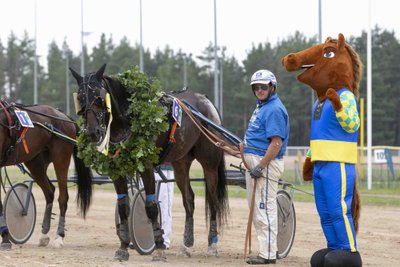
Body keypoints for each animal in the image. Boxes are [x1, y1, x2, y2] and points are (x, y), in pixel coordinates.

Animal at [0, 101, 93, 251]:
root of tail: (63, 115)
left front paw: (5, 239)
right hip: (35, 162)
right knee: (49, 191)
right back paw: (44, 234)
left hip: (61, 157)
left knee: (63, 198)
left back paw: (59, 236)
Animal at [70, 64, 230, 262]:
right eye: (80, 99)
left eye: (99, 98)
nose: (93, 132)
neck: (128, 121)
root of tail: (206, 101)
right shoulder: (116, 170)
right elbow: (123, 207)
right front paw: (123, 248)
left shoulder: (146, 167)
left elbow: (151, 207)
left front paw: (159, 248)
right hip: (181, 162)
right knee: (189, 199)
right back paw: (186, 244)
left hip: (209, 161)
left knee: (213, 200)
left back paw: (212, 244)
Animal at [282, 34, 362, 267]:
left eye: (329, 52)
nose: (289, 58)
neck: (322, 98)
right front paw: (307, 168)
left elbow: (352, 121)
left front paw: (336, 100)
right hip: (320, 186)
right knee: (326, 214)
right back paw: (326, 252)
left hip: (334, 178)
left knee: (336, 213)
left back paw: (342, 256)